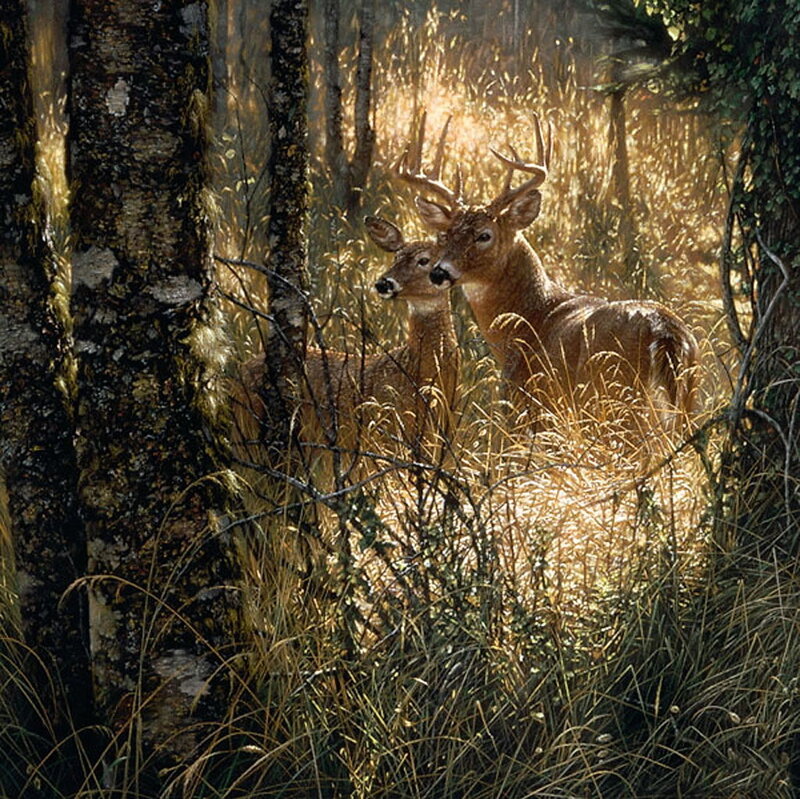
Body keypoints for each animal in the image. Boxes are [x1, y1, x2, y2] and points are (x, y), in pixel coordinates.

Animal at [397, 113, 699, 441]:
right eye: (445, 235)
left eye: (484, 235)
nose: (439, 272)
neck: (529, 318)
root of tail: (665, 332)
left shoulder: (530, 406)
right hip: (686, 401)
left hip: (617, 402)